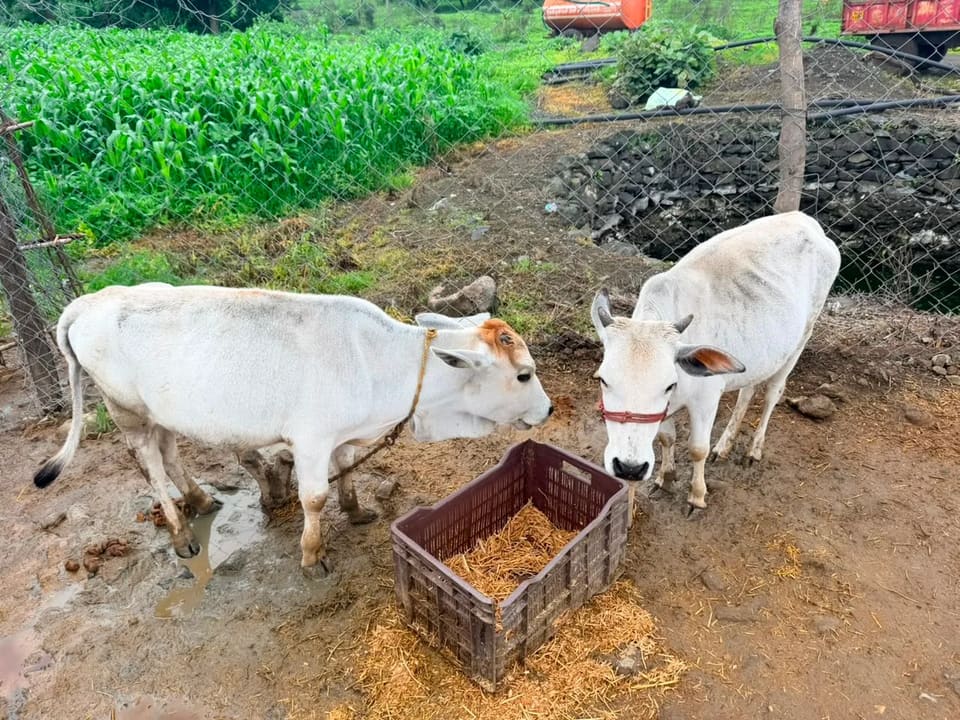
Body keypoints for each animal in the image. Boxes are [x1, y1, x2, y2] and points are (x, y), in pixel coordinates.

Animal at [33, 283, 553, 573]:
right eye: (524, 375)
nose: (548, 410)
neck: (383, 363)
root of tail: (86, 303)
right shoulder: (311, 439)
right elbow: (314, 498)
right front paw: (312, 554)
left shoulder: (341, 436)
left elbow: (348, 469)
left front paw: (356, 510)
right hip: (127, 410)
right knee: (151, 467)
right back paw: (181, 533)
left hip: (161, 412)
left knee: (169, 455)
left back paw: (201, 500)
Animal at [590, 211, 841, 515]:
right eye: (603, 379)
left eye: (668, 385)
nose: (629, 468)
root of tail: (805, 219)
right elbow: (666, 438)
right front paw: (666, 478)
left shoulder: (706, 399)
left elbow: (698, 448)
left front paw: (697, 496)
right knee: (747, 391)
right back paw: (725, 446)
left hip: (802, 338)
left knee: (772, 393)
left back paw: (753, 450)